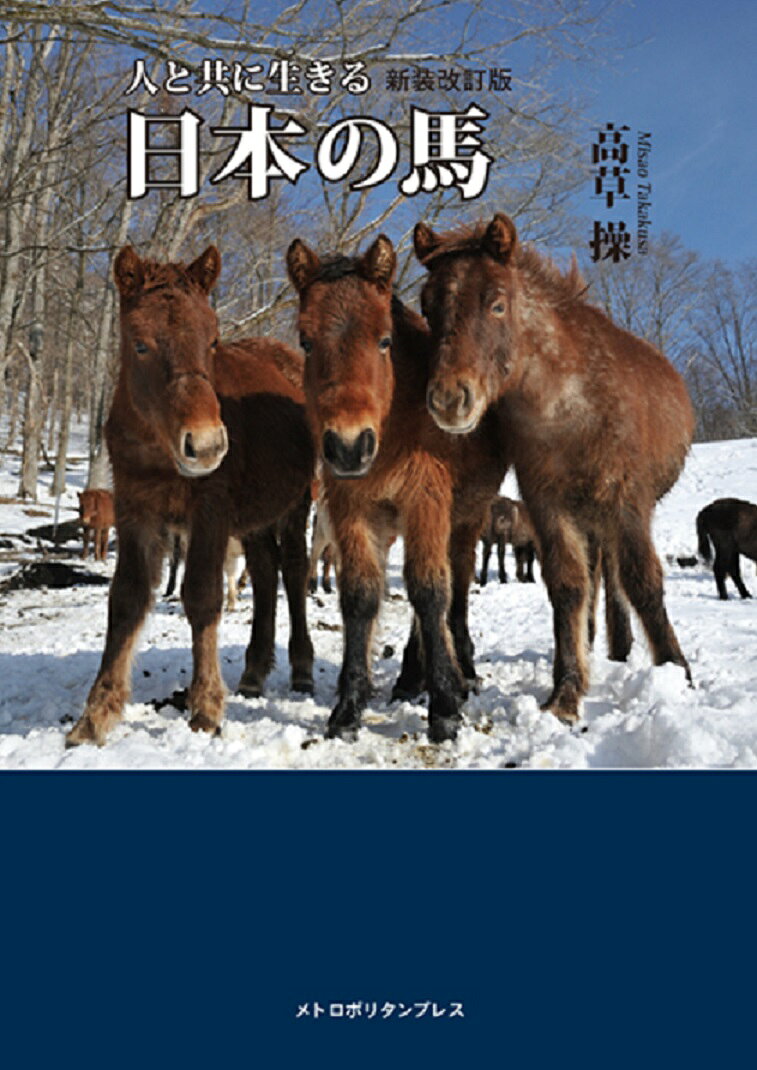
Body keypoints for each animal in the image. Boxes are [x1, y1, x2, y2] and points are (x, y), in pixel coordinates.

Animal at [66, 245, 315, 747]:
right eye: (141, 344)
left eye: (213, 340)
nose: (206, 445)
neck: (156, 445)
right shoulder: (135, 511)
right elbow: (126, 598)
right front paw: (96, 714)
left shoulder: (210, 511)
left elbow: (201, 595)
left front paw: (205, 708)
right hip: (255, 517)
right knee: (264, 572)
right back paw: (254, 671)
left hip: (295, 504)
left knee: (294, 570)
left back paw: (300, 666)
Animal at [286, 234, 508, 743]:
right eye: (306, 341)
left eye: (384, 340)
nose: (348, 447)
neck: (395, 426)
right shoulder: (351, 509)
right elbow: (360, 596)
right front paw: (348, 707)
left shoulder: (425, 501)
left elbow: (429, 592)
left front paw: (445, 706)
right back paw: (410, 677)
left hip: (465, 521)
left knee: (454, 588)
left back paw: (459, 673)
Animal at [413, 213, 693, 724]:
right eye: (427, 308)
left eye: (497, 304)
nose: (448, 400)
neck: (568, 408)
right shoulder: (547, 503)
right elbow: (566, 586)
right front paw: (567, 691)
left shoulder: (627, 500)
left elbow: (643, 581)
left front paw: (678, 675)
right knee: (598, 577)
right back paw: (602, 644)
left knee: (617, 578)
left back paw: (622, 648)